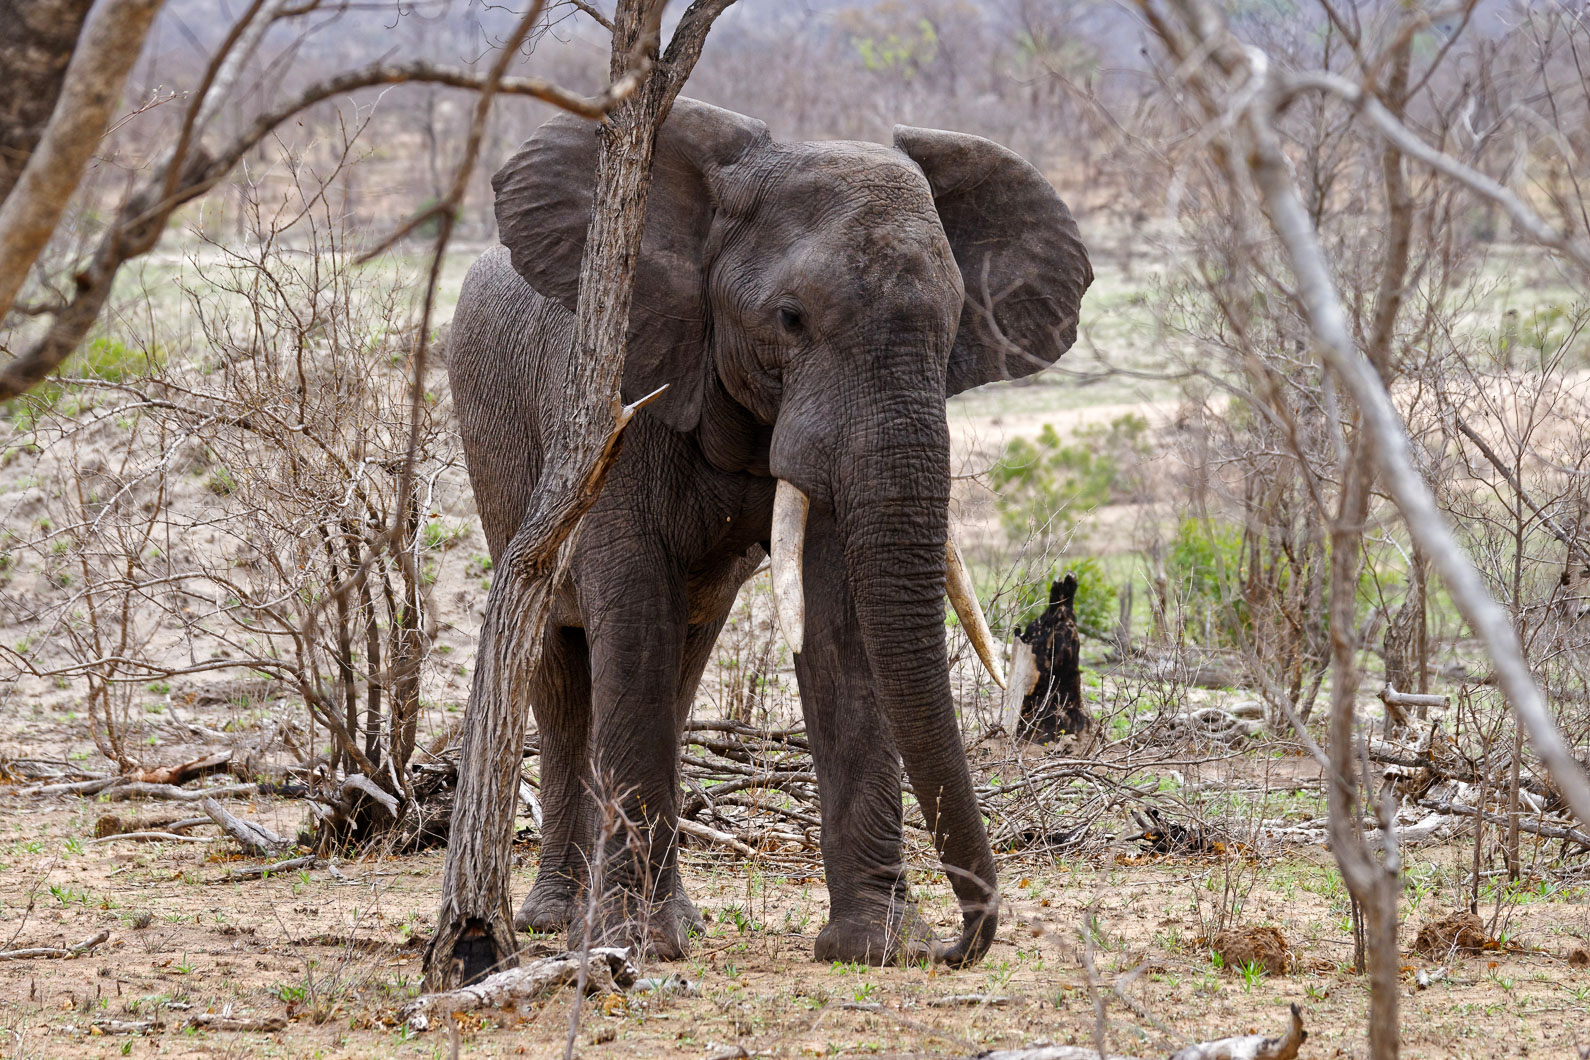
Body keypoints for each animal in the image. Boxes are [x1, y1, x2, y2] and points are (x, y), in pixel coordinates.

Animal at [447, 98, 1091, 968]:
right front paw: (633, 949)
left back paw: (670, 922)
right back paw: (562, 923)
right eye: (790, 319)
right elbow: (631, 609)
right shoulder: (618, 398)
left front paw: (876, 947)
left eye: (956, 322)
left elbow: (837, 618)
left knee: (682, 667)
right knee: (560, 667)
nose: (959, 946)